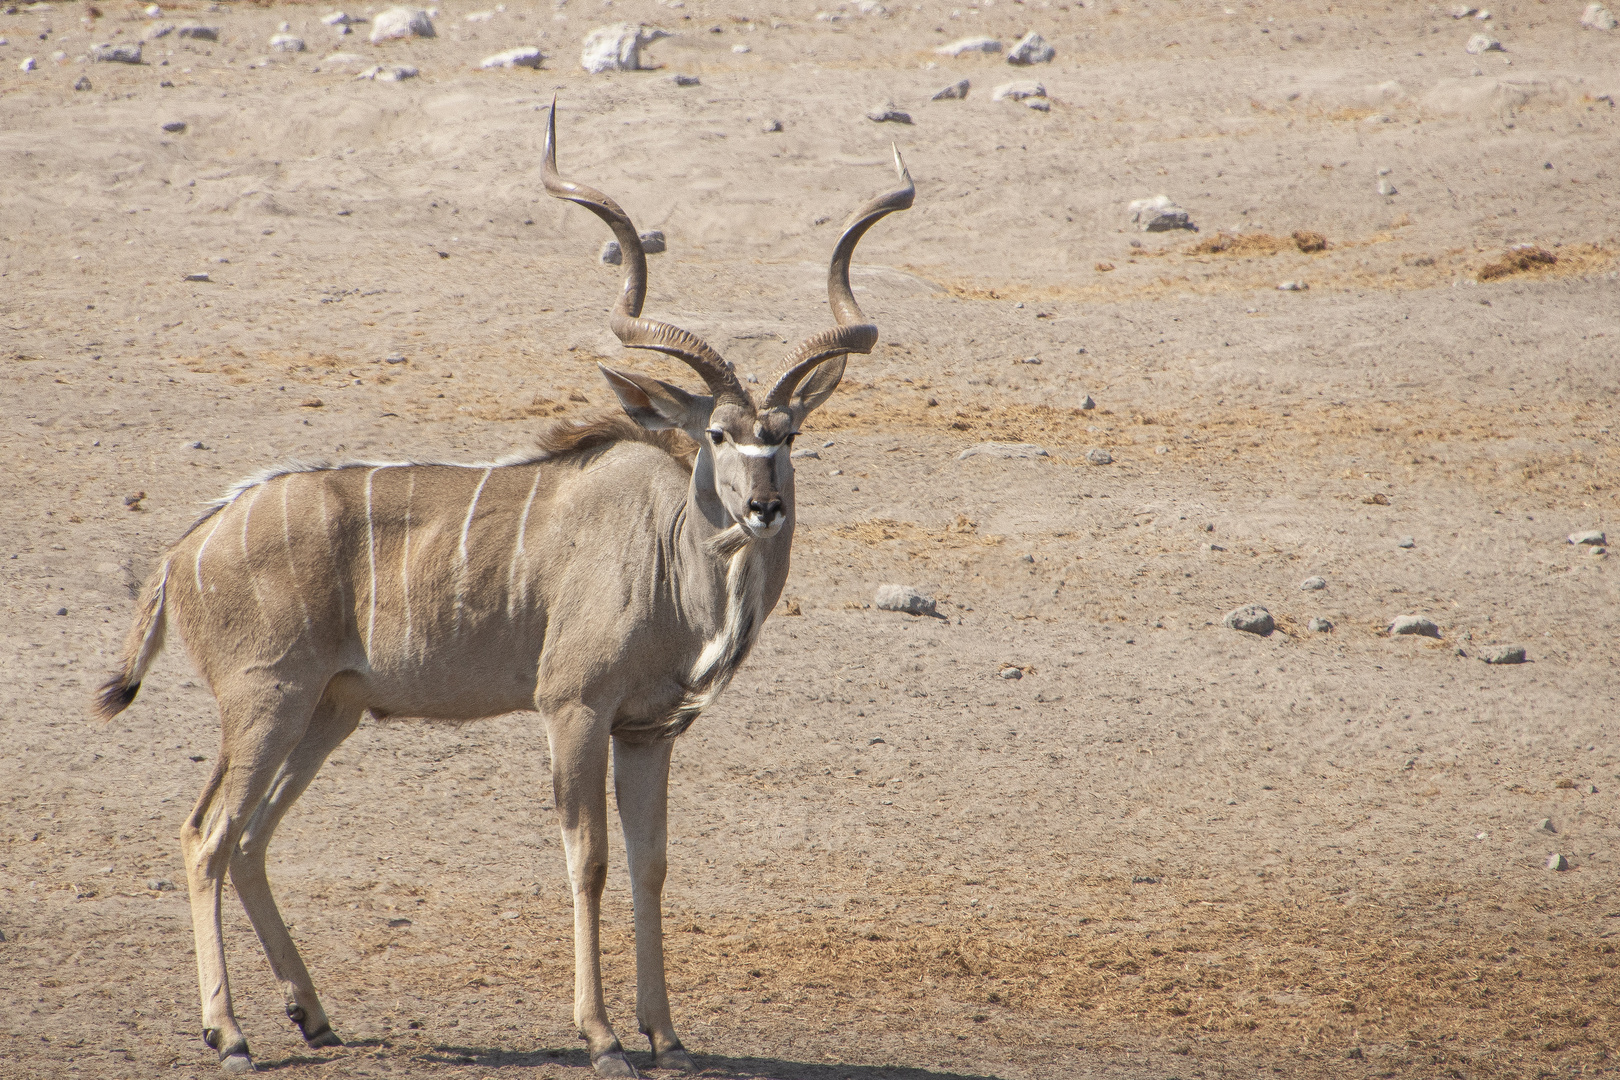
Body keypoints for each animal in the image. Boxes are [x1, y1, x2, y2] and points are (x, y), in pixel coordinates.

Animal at [98, 103, 913, 1080]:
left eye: (786, 434)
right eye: (717, 433)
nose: (763, 506)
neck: (667, 552)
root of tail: (186, 548)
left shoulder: (649, 731)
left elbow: (651, 865)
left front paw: (668, 1037)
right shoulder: (573, 709)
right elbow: (588, 859)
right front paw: (603, 1038)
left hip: (326, 712)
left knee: (251, 837)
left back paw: (315, 1017)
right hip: (267, 703)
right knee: (208, 834)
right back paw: (229, 1033)